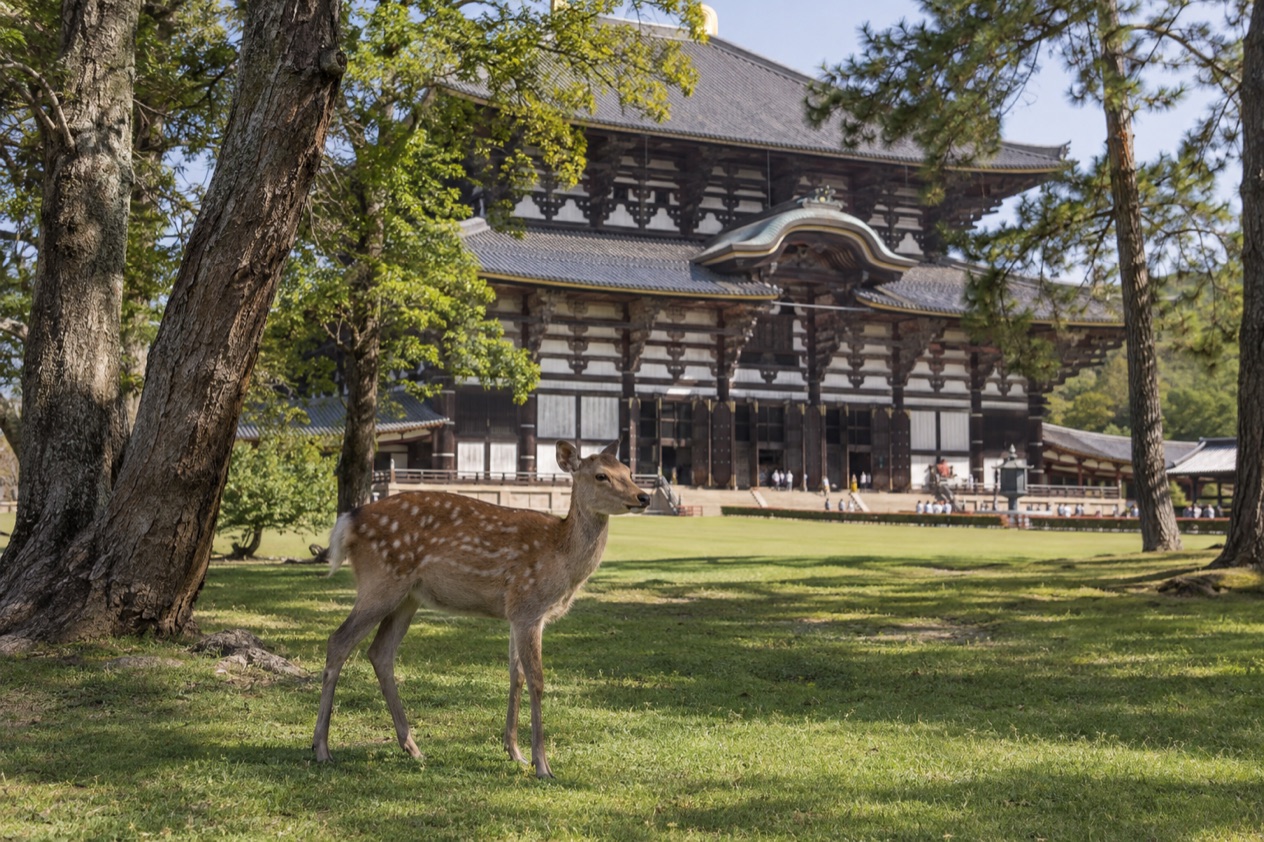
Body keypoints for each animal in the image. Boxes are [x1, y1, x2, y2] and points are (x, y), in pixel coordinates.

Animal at [312, 440, 651, 778]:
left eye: (628, 471)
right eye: (601, 475)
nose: (643, 496)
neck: (562, 558)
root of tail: (346, 523)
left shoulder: (516, 613)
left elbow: (516, 675)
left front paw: (515, 752)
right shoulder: (529, 604)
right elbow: (537, 680)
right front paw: (542, 765)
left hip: (408, 597)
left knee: (380, 652)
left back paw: (412, 747)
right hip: (380, 582)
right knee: (338, 641)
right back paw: (322, 748)